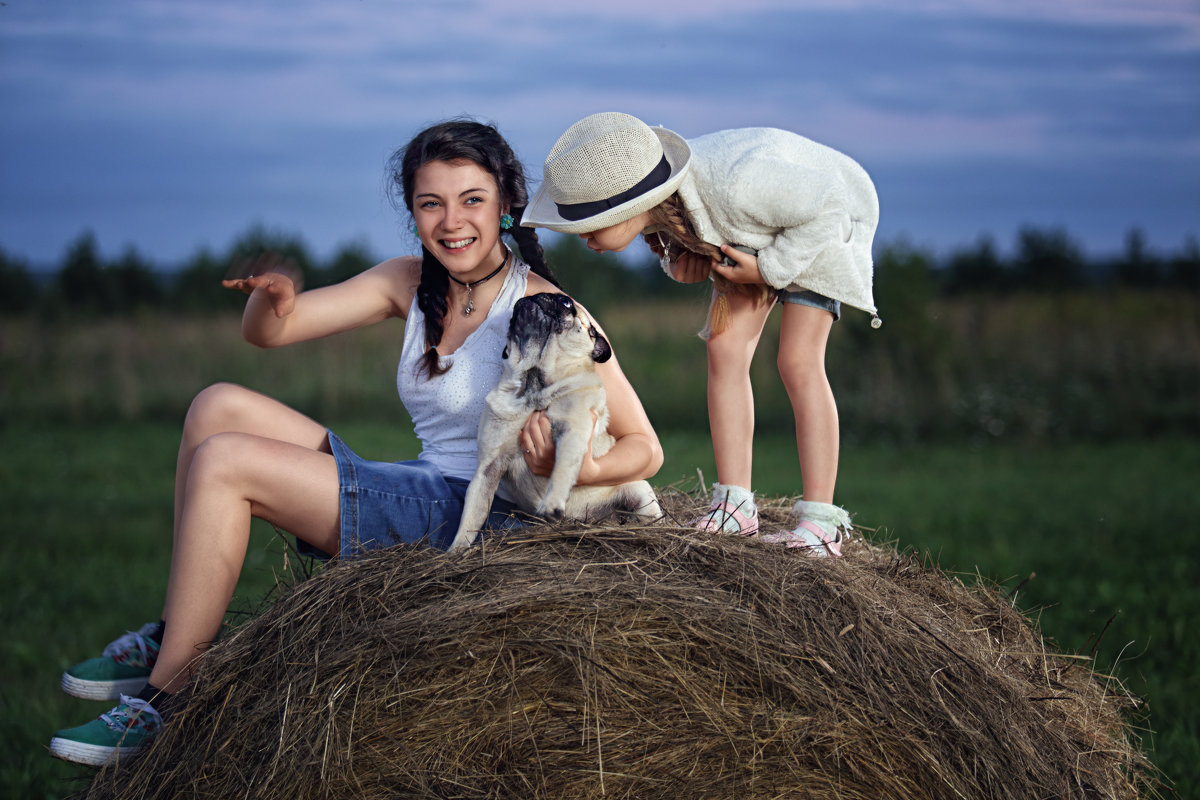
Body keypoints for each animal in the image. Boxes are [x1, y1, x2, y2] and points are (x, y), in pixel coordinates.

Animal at [451, 293, 662, 551]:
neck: (533, 385)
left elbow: (561, 468)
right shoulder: (488, 467)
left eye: (566, 303)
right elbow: (472, 515)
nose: (532, 296)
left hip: (640, 492)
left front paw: (551, 503)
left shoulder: (572, 434)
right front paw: (456, 551)